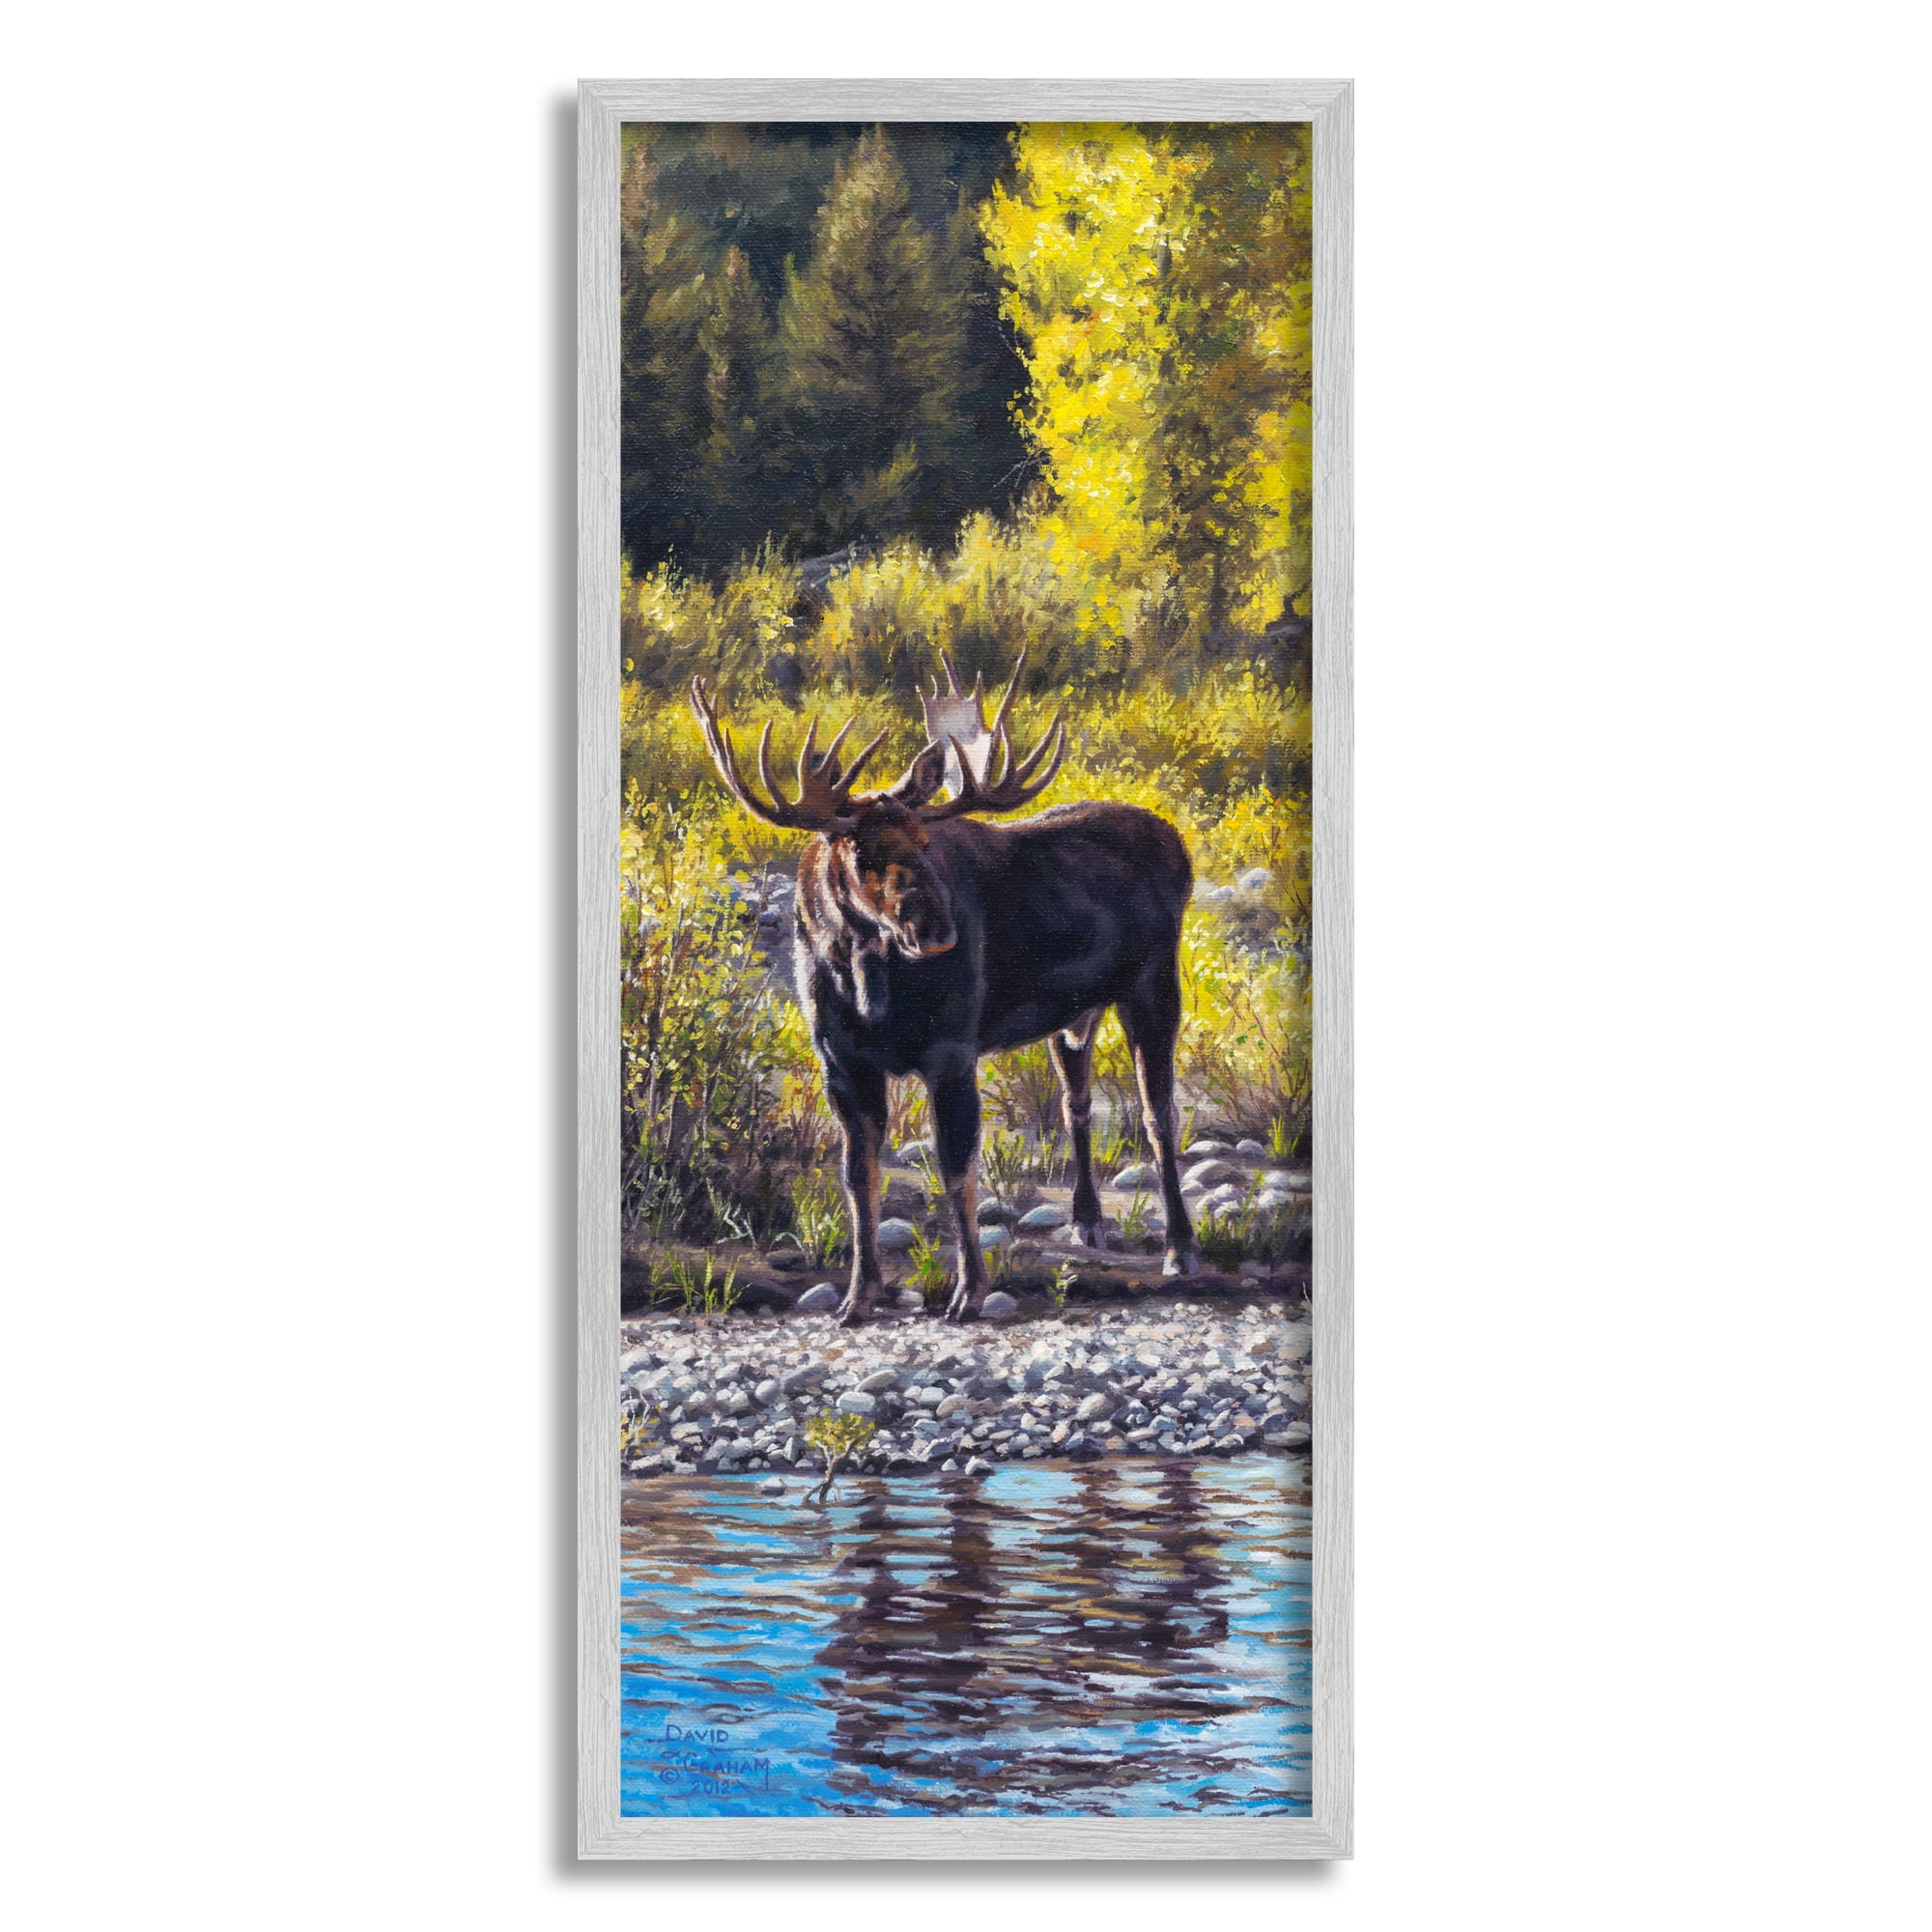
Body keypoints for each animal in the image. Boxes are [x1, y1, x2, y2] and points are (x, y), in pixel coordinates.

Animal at [688, 655, 1196, 1326]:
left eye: (926, 842)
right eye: (861, 853)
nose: (938, 929)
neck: (871, 987)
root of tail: (1179, 847)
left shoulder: (952, 1052)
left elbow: (958, 1169)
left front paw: (967, 1292)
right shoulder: (841, 1062)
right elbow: (858, 1177)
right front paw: (857, 1297)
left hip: (1154, 987)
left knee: (1160, 1113)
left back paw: (1180, 1252)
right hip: (1074, 1017)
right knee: (1077, 1102)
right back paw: (1087, 1224)